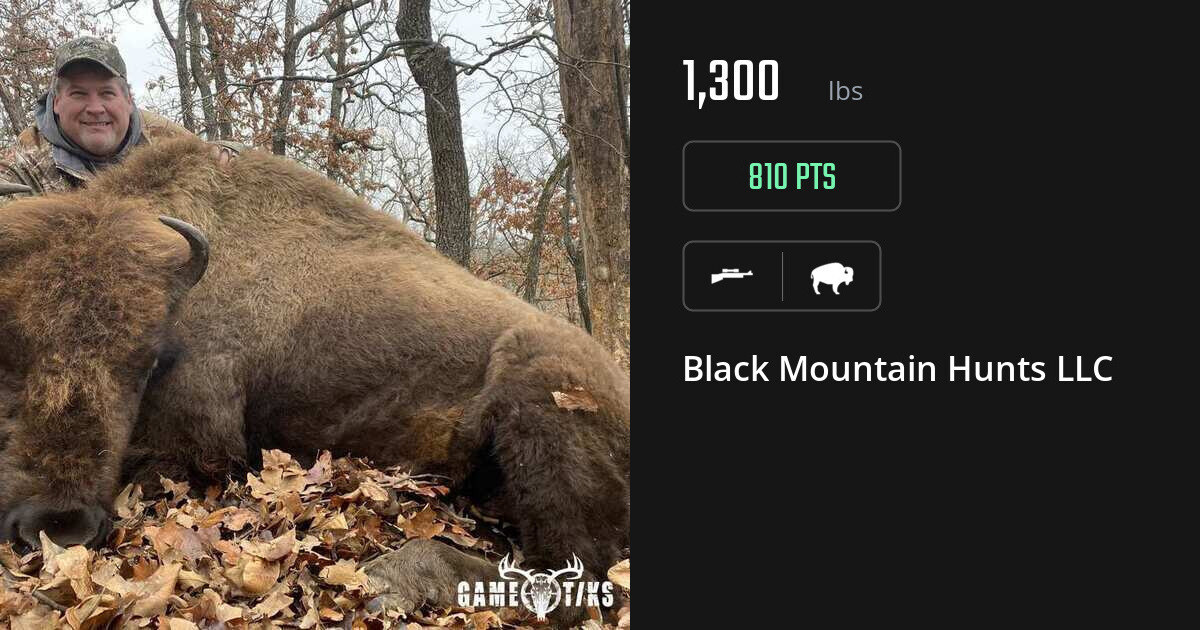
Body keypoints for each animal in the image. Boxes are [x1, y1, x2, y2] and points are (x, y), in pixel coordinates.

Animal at [0, 136, 629, 622]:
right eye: (8, 350)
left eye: (146, 361)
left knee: (568, 581)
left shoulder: (203, 447)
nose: (59, 525)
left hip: (542, 398)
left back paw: (394, 577)